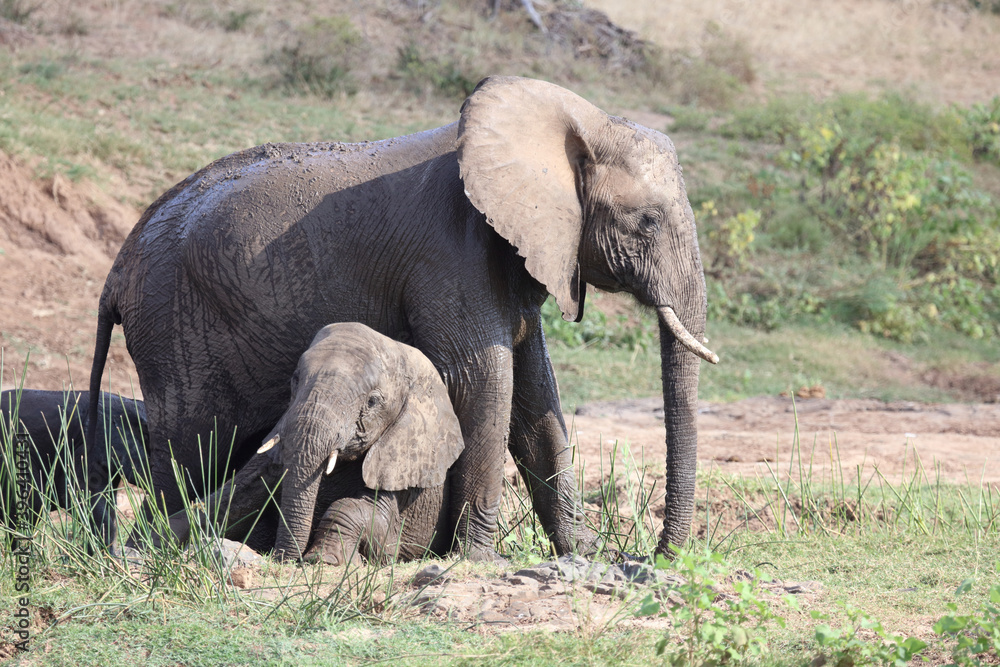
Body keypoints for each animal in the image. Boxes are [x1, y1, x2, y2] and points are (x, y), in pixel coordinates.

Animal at [166, 322, 463, 565]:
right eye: (295, 379)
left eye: (372, 401)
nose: (283, 559)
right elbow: (227, 497)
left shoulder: (401, 463)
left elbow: (382, 533)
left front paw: (324, 560)